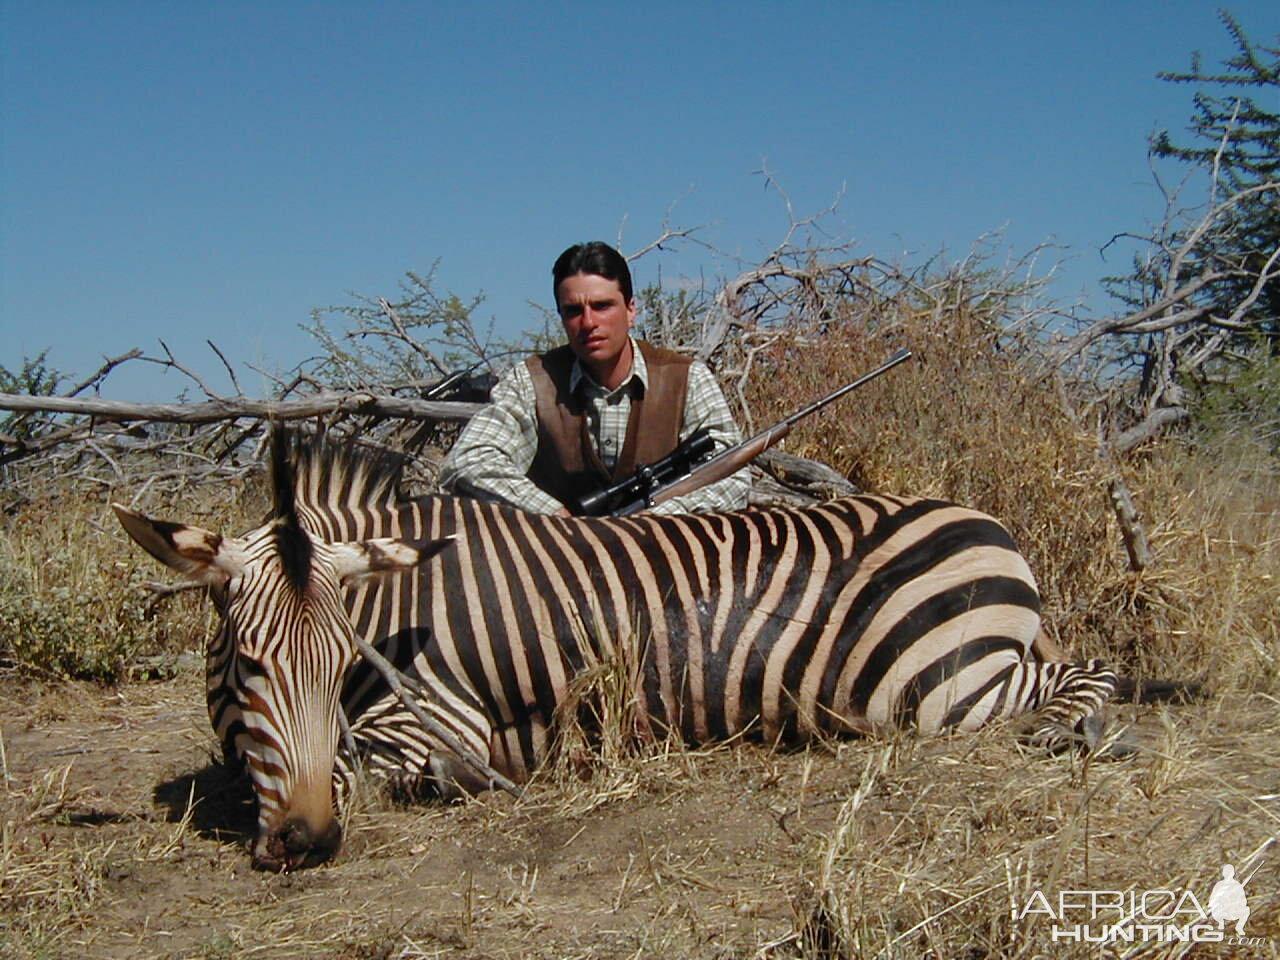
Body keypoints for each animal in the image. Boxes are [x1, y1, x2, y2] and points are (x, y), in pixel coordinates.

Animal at [117, 432, 1121, 875]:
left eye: (339, 661)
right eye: (251, 665)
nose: (307, 843)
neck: (404, 601)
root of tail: (983, 520)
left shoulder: (441, 717)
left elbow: (370, 765)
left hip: (938, 686)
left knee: (1083, 674)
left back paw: (1073, 736)